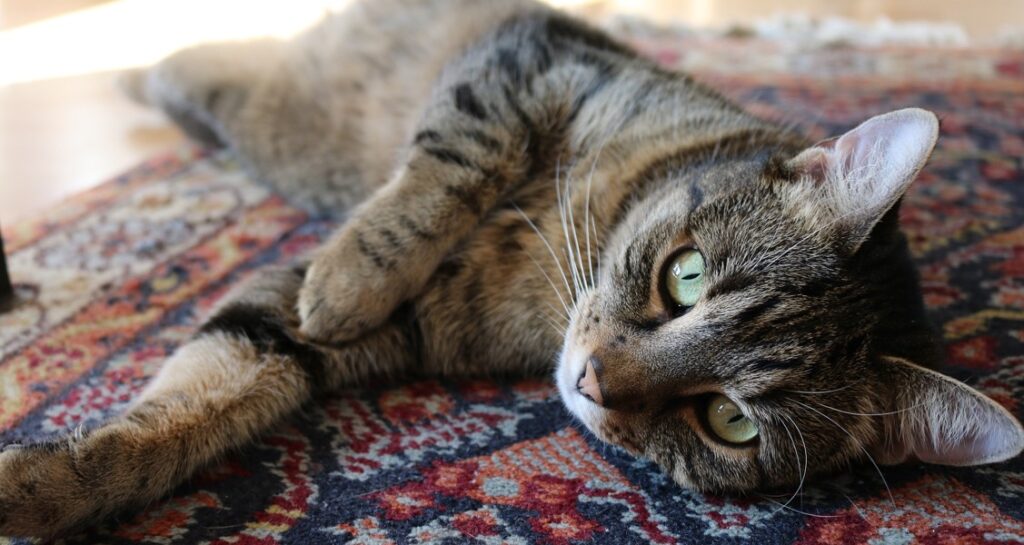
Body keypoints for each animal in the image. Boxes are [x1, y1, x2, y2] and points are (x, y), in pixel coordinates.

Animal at [2, 0, 1024, 536]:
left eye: (730, 421)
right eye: (686, 276)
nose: (593, 380)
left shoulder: (389, 326)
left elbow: (207, 395)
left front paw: (47, 487)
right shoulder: (528, 64)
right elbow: (449, 167)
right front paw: (348, 275)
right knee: (192, 53)